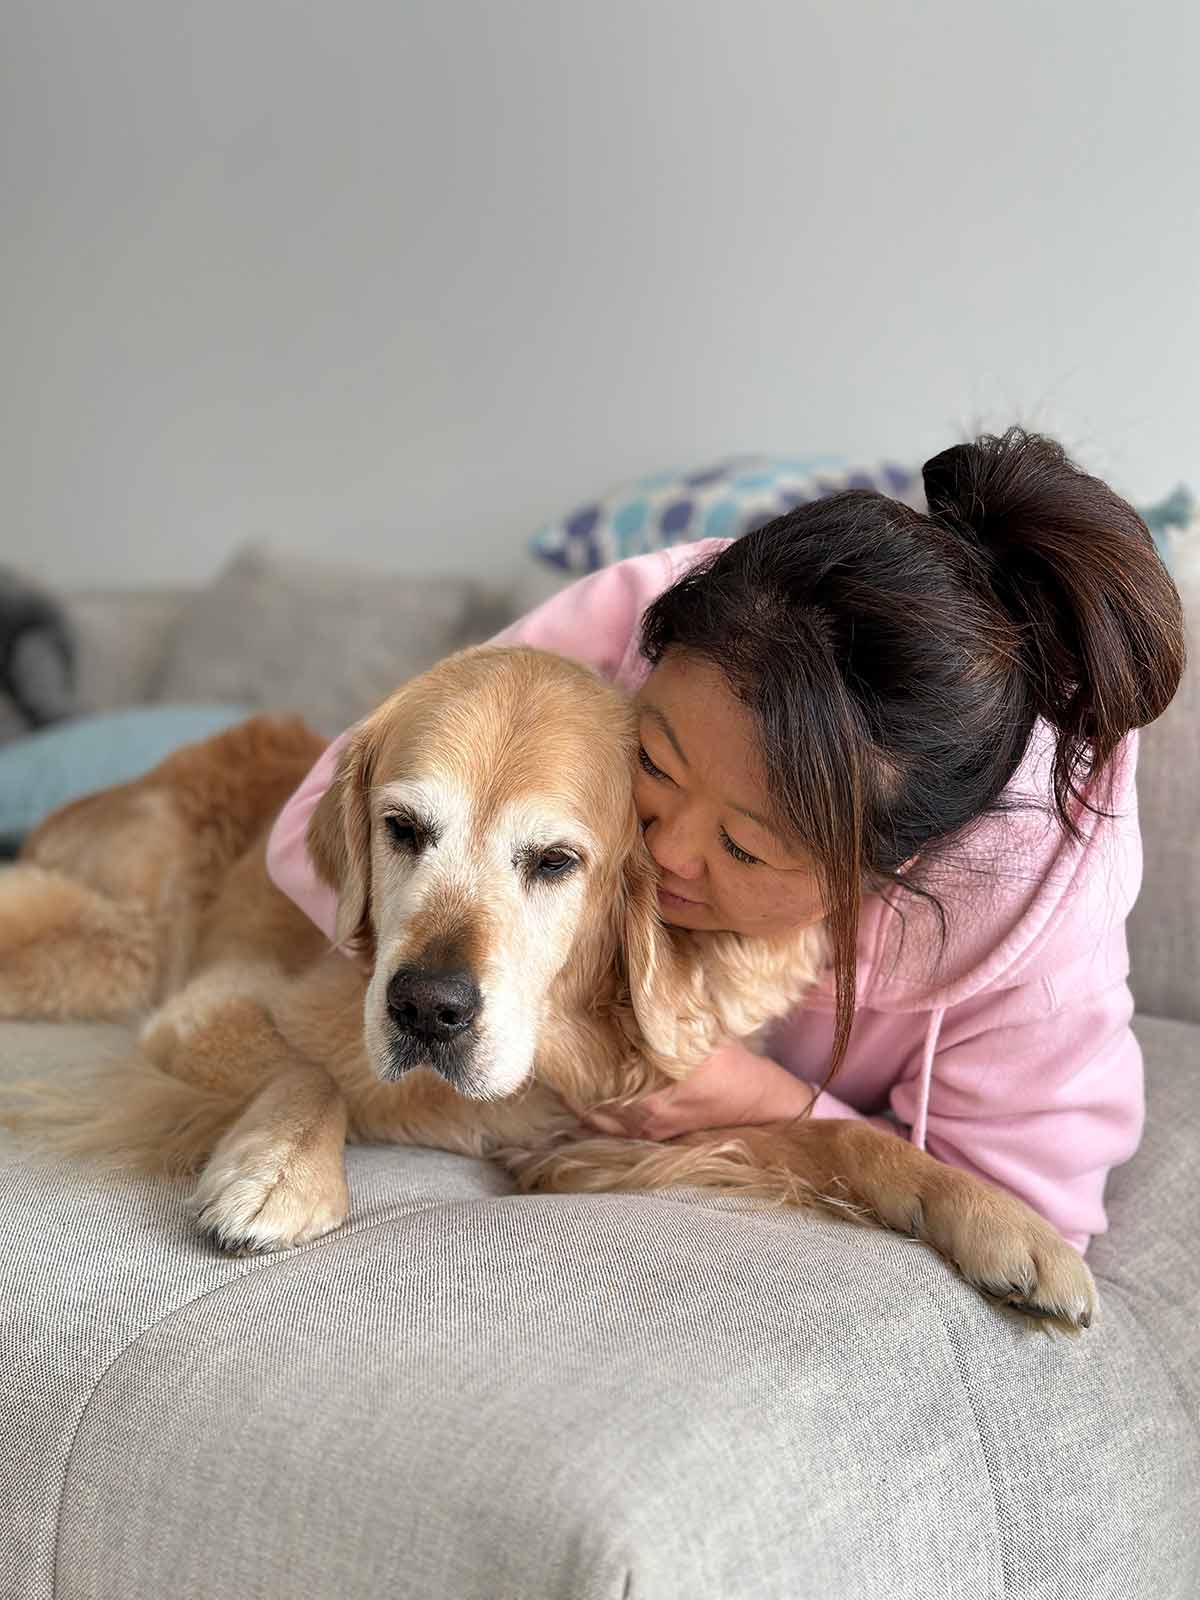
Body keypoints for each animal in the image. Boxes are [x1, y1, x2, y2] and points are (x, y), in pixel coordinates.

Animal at [0, 643, 1094, 1331]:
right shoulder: (205, 1006)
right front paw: (279, 1173)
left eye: (556, 862)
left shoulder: (596, 1135)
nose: (427, 1009)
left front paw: (1003, 1223)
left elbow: (845, 1138)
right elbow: (309, 1072)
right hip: (118, 941)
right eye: (403, 829)